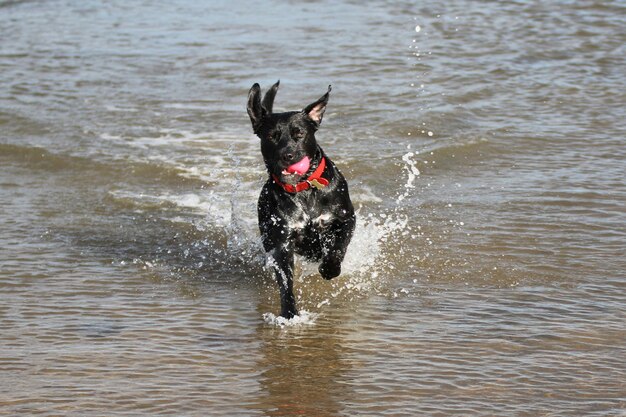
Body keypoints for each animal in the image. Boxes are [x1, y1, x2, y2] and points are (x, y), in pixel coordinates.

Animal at [249, 80, 356, 316]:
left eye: (299, 133)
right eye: (272, 136)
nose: (287, 155)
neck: (304, 189)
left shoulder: (345, 219)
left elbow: (338, 247)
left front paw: (329, 268)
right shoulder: (282, 242)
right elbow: (285, 280)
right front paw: (289, 312)